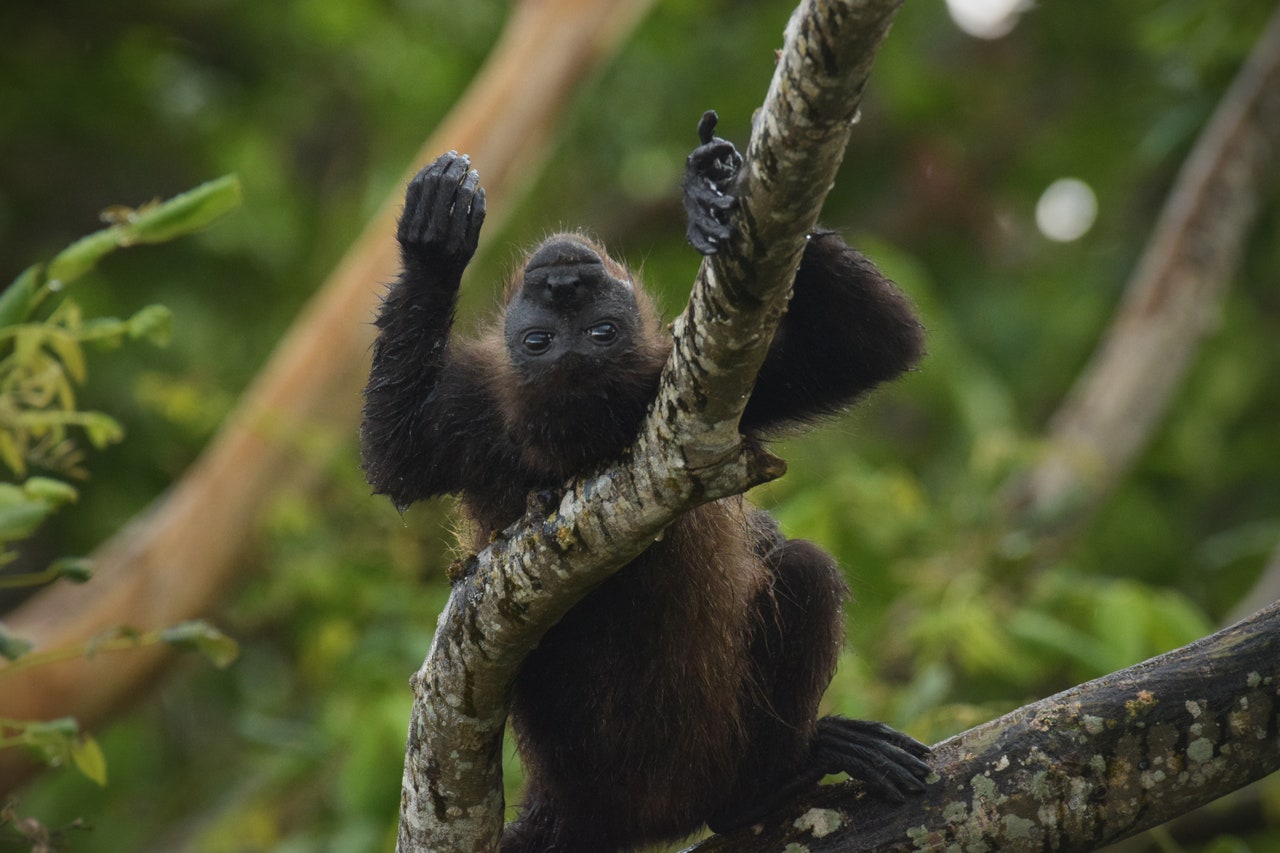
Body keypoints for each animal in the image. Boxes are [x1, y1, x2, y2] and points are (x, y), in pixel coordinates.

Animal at [360, 114, 931, 850]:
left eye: (600, 331)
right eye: (541, 341)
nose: (564, 282)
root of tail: (576, 809)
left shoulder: (681, 382)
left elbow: (869, 344)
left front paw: (716, 189)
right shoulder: (478, 413)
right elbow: (396, 457)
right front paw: (432, 248)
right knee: (807, 571)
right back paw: (779, 778)